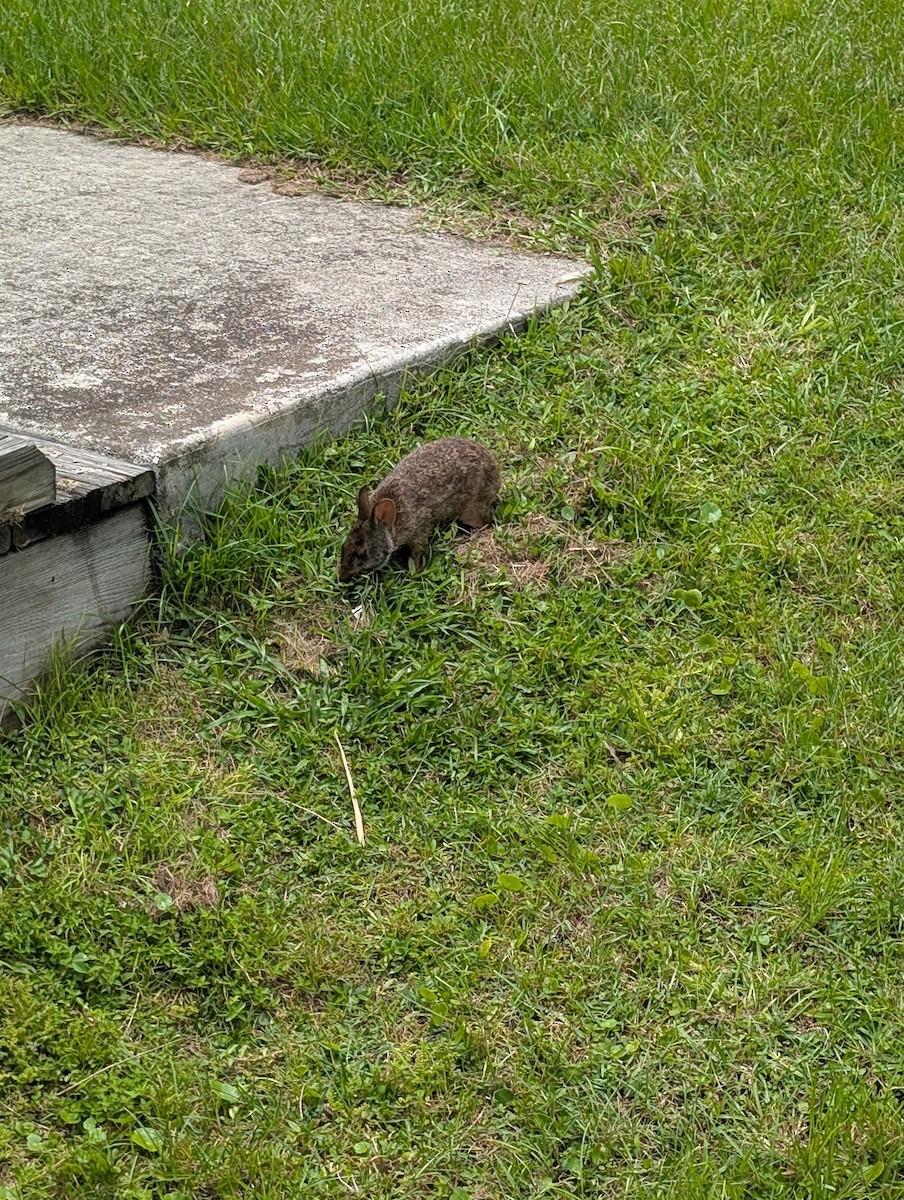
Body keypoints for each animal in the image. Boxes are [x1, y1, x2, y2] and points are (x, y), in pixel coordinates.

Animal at [338, 437, 501, 582]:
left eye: (362, 554)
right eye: (343, 547)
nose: (341, 578)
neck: (392, 524)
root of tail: (494, 469)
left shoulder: (420, 530)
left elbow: (417, 551)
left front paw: (416, 571)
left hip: (471, 510)